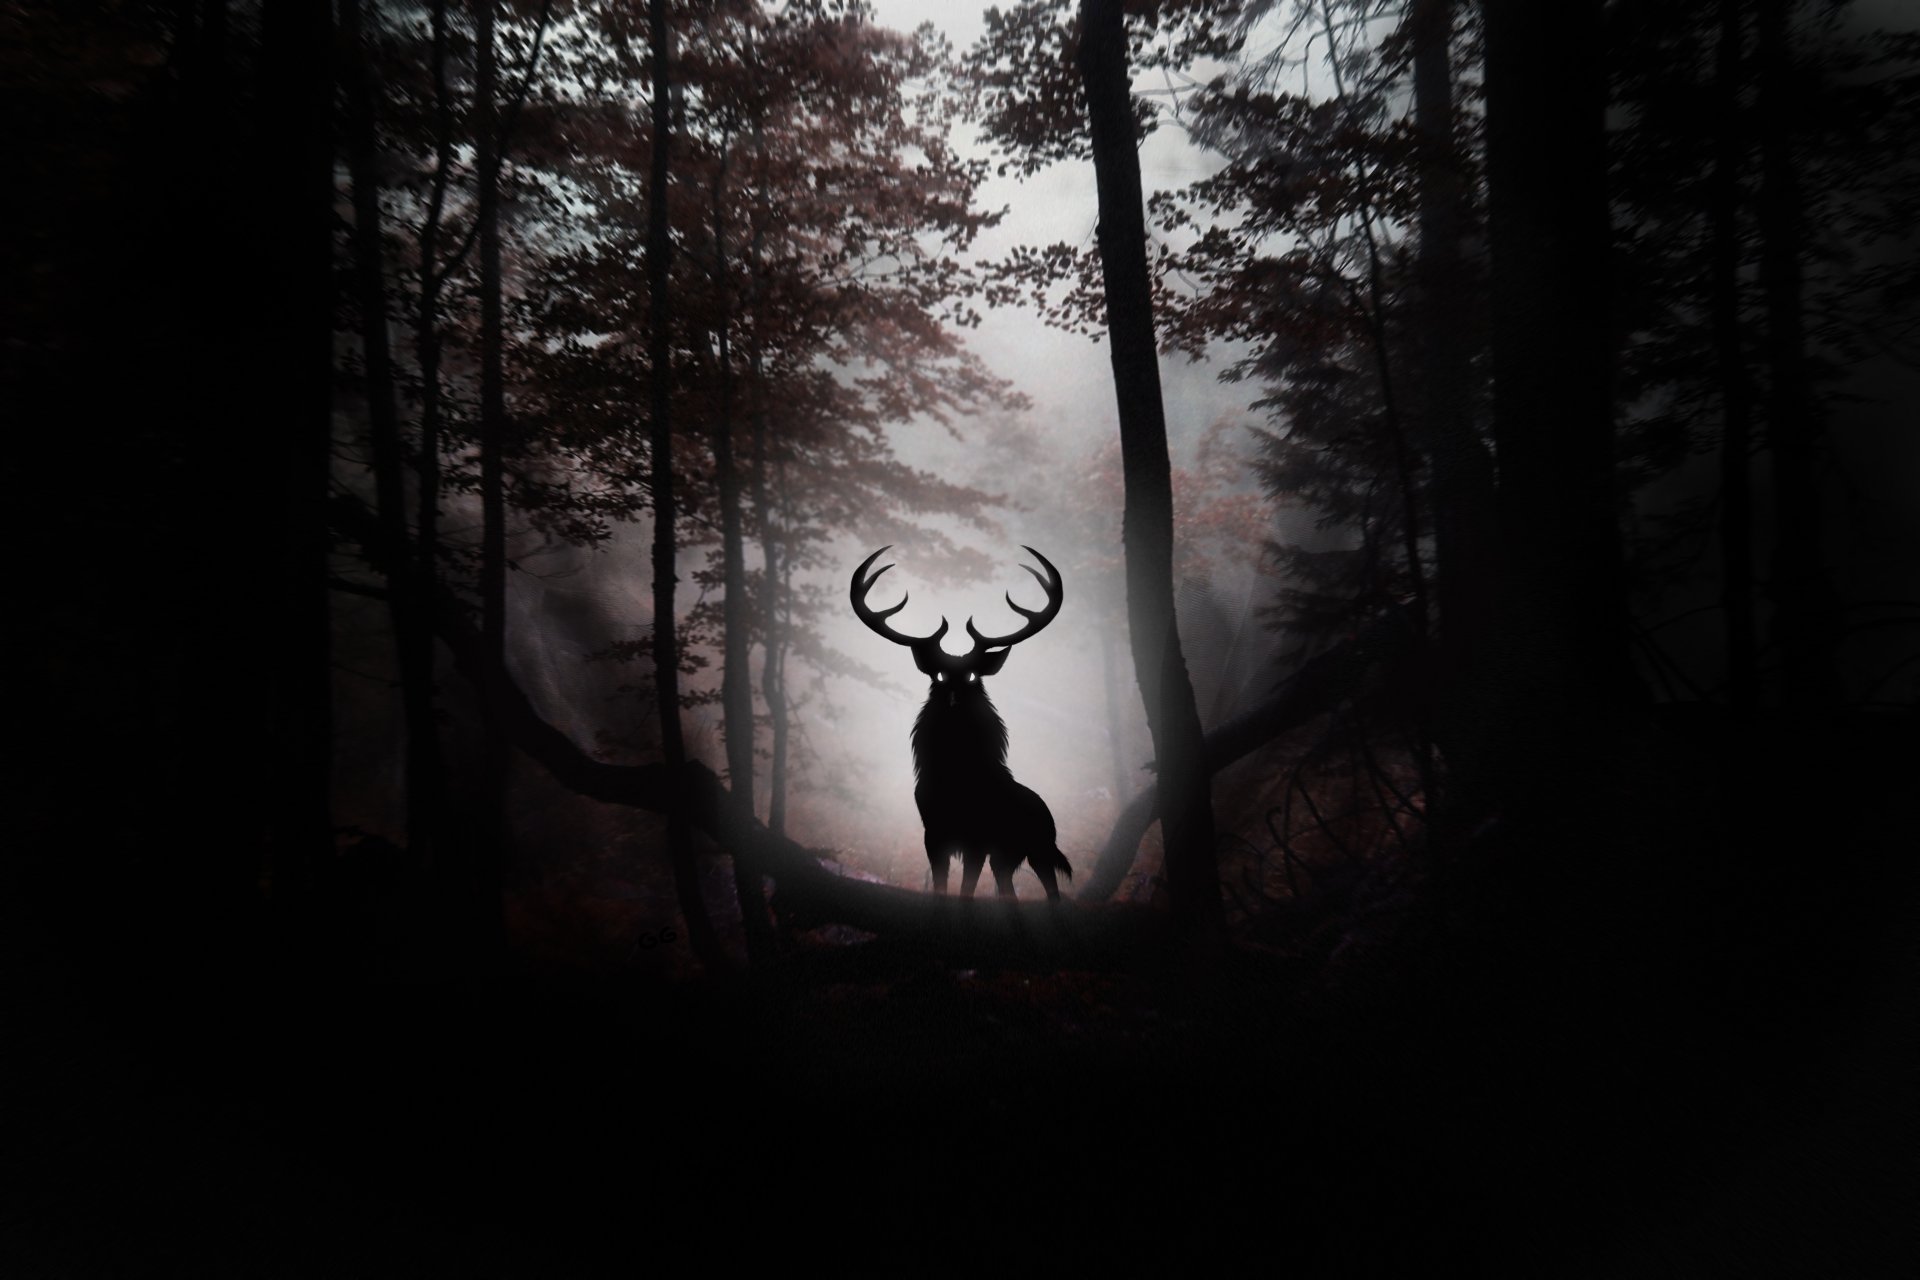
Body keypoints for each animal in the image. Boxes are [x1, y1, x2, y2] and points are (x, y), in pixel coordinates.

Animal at [851, 545, 1073, 902]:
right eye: (939, 675)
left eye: (972, 676)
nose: (954, 698)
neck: (956, 778)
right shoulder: (933, 834)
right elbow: (941, 887)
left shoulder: (977, 840)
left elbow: (967, 890)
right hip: (1008, 858)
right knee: (1008, 890)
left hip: (1039, 848)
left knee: (1051, 890)